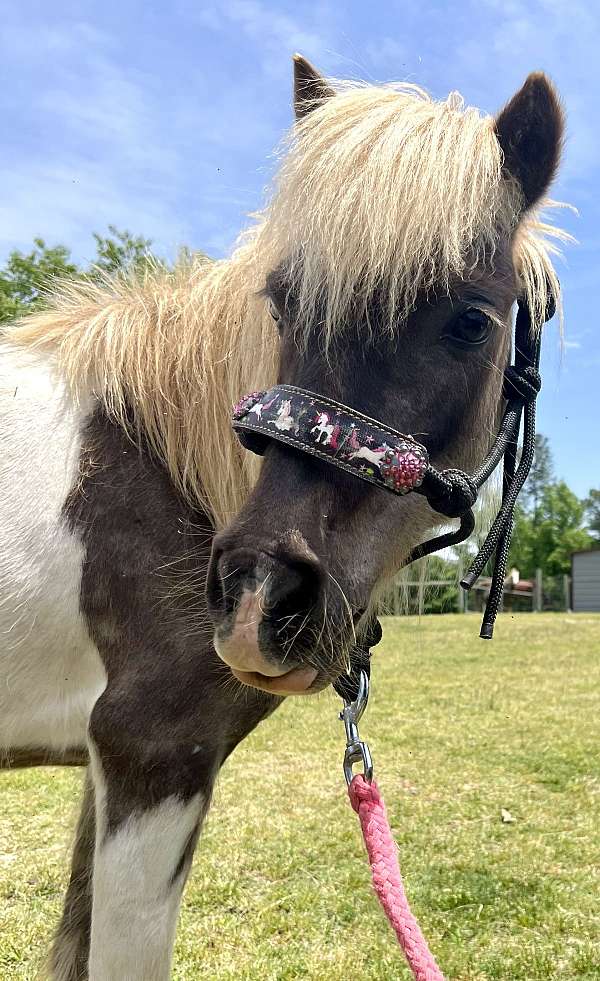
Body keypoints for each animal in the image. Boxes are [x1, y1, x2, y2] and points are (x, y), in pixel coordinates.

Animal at [0, 54, 567, 980]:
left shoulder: (111, 767)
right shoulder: (151, 755)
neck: (165, 464)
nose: (260, 594)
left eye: (472, 322)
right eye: (283, 301)